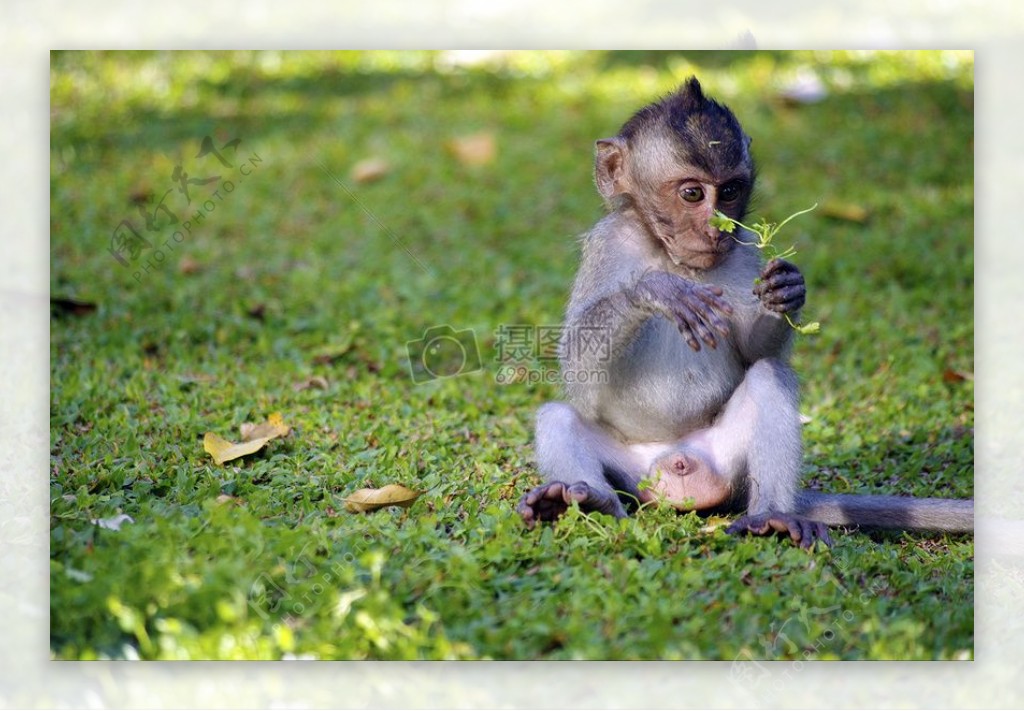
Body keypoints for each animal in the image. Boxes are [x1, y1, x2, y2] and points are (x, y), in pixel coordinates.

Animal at [520, 77, 974, 549]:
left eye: (731, 191)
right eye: (692, 193)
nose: (716, 228)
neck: (672, 257)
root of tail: (677, 462)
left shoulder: (744, 253)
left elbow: (755, 353)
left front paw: (786, 292)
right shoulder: (608, 246)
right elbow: (580, 373)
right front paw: (657, 290)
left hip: (729, 465)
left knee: (769, 377)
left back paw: (772, 515)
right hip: (631, 473)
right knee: (558, 417)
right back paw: (590, 501)